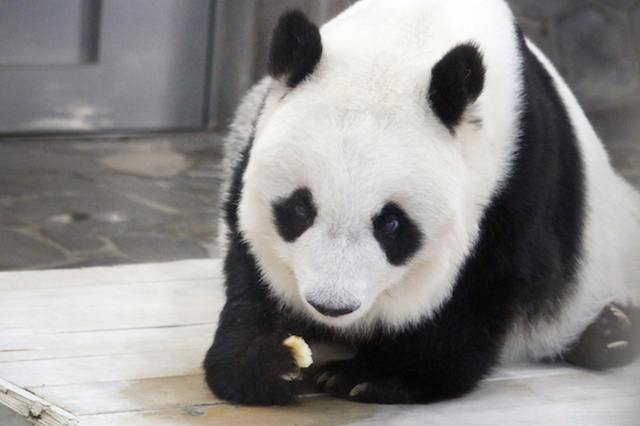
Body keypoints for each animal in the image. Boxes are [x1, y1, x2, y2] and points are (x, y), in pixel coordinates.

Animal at [204, 0, 640, 406]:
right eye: (299, 209)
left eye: (391, 224)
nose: (331, 305)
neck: (409, 36)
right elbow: (251, 265)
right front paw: (266, 364)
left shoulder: (516, 172)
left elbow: (482, 284)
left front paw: (375, 377)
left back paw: (611, 332)